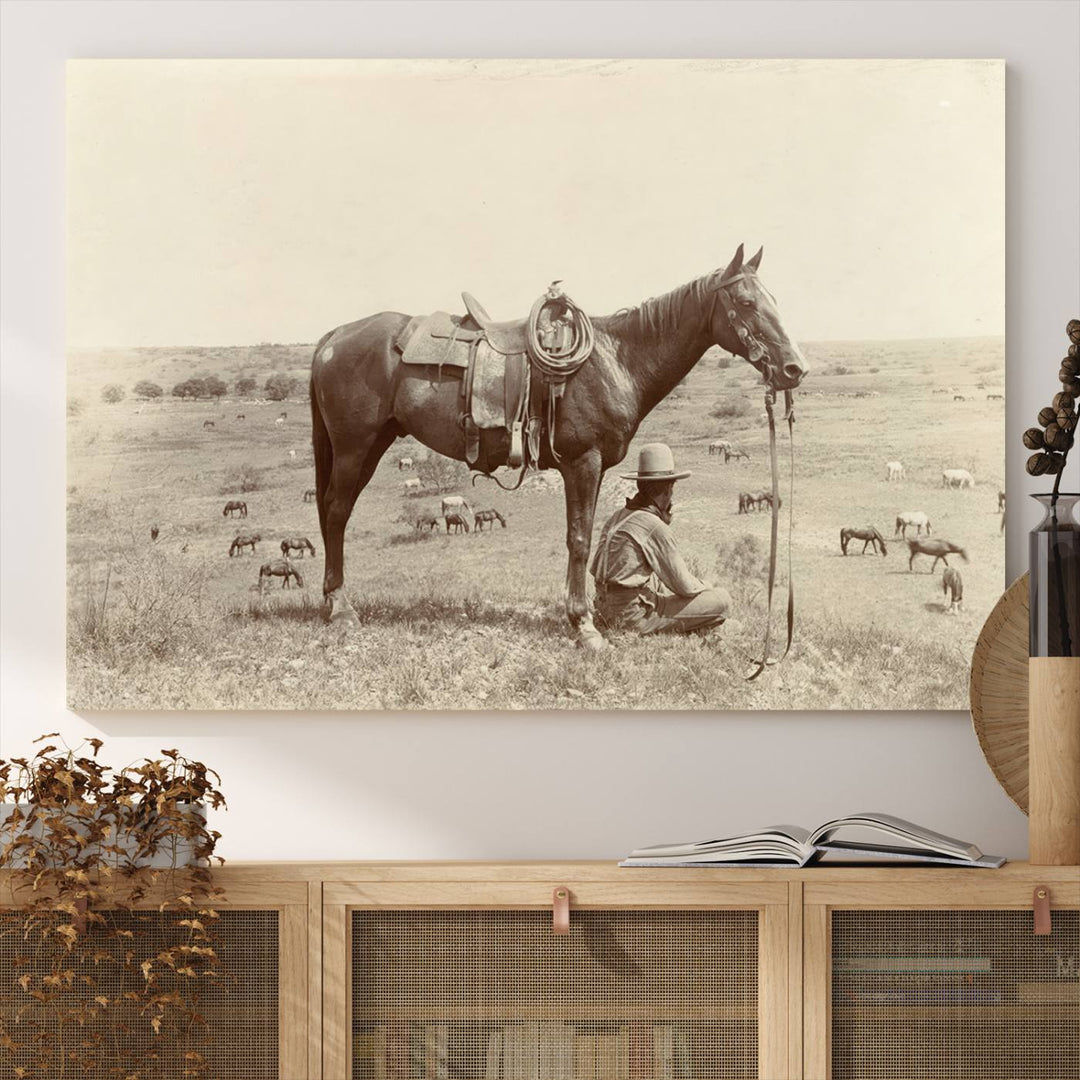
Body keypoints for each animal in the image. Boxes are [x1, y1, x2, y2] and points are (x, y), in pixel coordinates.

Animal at [308, 245, 807, 643]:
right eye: (746, 302)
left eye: (775, 300)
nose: (793, 368)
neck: (615, 359)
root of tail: (333, 336)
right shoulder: (582, 463)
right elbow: (579, 539)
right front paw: (583, 625)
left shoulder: (595, 466)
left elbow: (587, 535)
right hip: (354, 447)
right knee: (335, 512)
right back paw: (341, 609)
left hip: (373, 445)